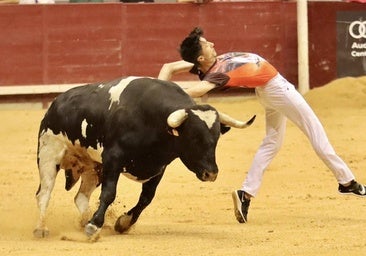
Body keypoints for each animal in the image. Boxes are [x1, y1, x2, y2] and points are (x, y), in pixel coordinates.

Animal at [33, 76, 254, 238]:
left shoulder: (158, 168)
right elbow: (109, 194)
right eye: (194, 137)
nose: (211, 173)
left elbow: (146, 198)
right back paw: (42, 229)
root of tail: (55, 104)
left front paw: (122, 223)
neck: (152, 120)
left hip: (93, 167)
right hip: (48, 154)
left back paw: (84, 221)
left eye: (216, 138)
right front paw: (94, 225)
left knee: (80, 197)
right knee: (44, 193)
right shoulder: (113, 159)